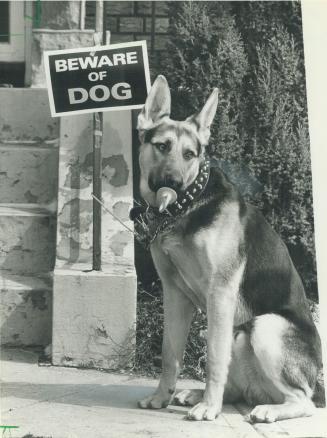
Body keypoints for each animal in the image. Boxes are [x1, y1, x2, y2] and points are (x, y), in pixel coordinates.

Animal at [136, 77, 322, 422]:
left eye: (190, 154)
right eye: (162, 146)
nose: (173, 182)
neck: (188, 205)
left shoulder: (220, 292)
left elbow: (213, 357)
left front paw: (210, 408)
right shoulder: (174, 294)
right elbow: (170, 354)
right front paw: (160, 397)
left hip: (264, 326)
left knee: (304, 401)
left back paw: (264, 409)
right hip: (238, 331)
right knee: (239, 389)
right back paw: (197, 394)